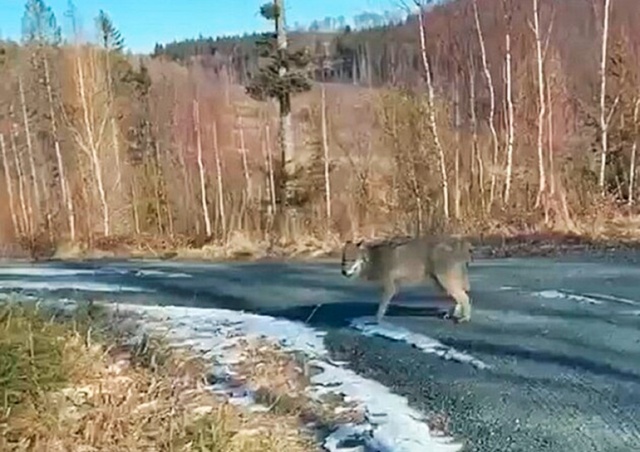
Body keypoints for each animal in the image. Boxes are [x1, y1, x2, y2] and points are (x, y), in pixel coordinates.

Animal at [342, 237, 472, 324]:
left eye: (352, 260)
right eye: (343, 260)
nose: (343, 272)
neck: (373, 259)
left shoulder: (390, 288)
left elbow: (381, 307)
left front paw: (376, 320)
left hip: (444, 282)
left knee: (465, 298)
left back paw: (465, 318)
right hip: (441, 284)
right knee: (459, 298)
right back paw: (452, 314)